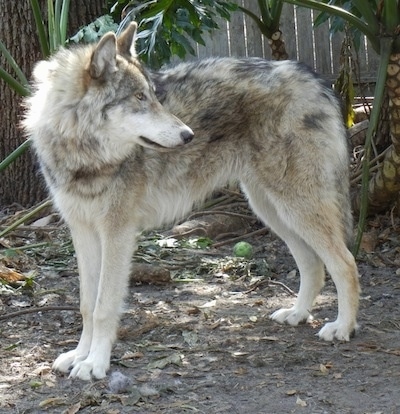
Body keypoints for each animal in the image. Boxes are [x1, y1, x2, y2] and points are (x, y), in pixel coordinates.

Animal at [22, 21, 360, 380]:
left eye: (154, 96)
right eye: (140, 98)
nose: (188, 135)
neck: (83, 157)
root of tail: (316, 79)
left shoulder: (117, 233)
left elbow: (104, 306)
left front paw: (95, 364)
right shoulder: (83, 231)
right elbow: (87, 304)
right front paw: (78, 355)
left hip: (296, 207)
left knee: (344, 263)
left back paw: (343, 327)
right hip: (271, 210)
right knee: (312, 264)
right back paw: (297, 314)